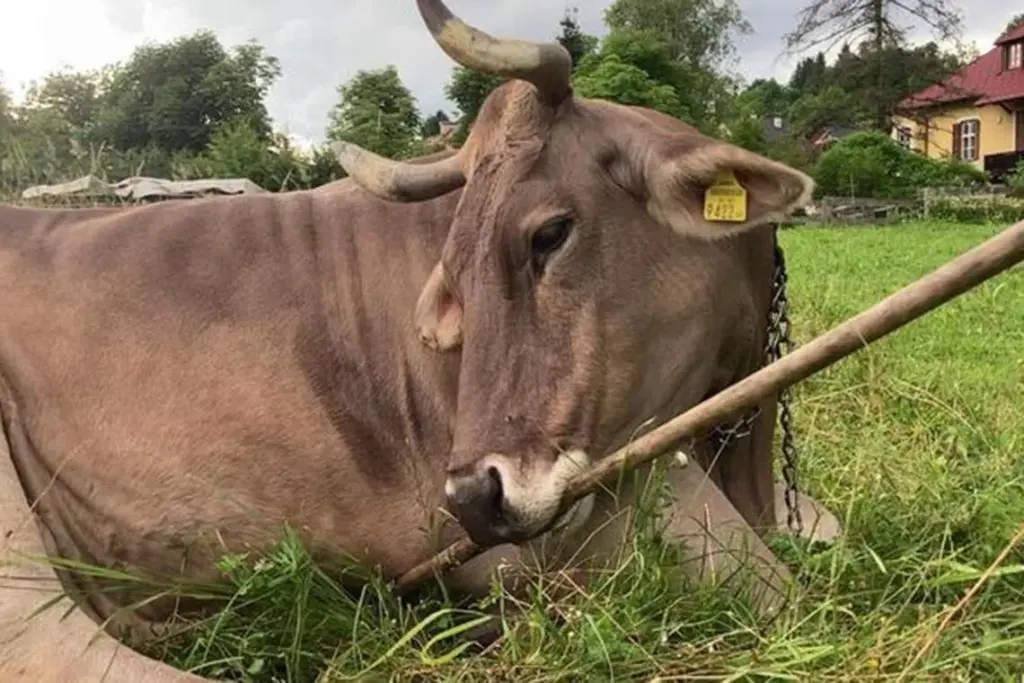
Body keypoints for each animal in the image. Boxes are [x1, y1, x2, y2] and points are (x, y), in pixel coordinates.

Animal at [0, 1, 841, 680]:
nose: (471, 496)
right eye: (456, 274)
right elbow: (784, 593)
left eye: (550, 233)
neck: (734, 442)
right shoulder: (611, 509)